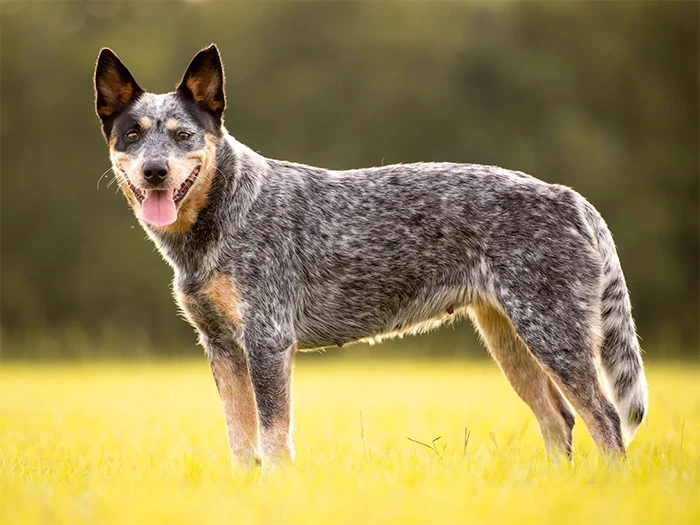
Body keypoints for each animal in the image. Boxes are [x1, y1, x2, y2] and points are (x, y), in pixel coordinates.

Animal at [94, 45, 652, 466]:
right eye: (133, 135)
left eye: (183, 135)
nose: (155, 171)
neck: (226, 214)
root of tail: (570, 197)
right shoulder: (221, 347)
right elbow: (240, 442)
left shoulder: (268, 341)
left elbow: (273, 439)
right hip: (510, 339)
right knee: (559, 419)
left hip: (552, 334)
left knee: (605, 420)